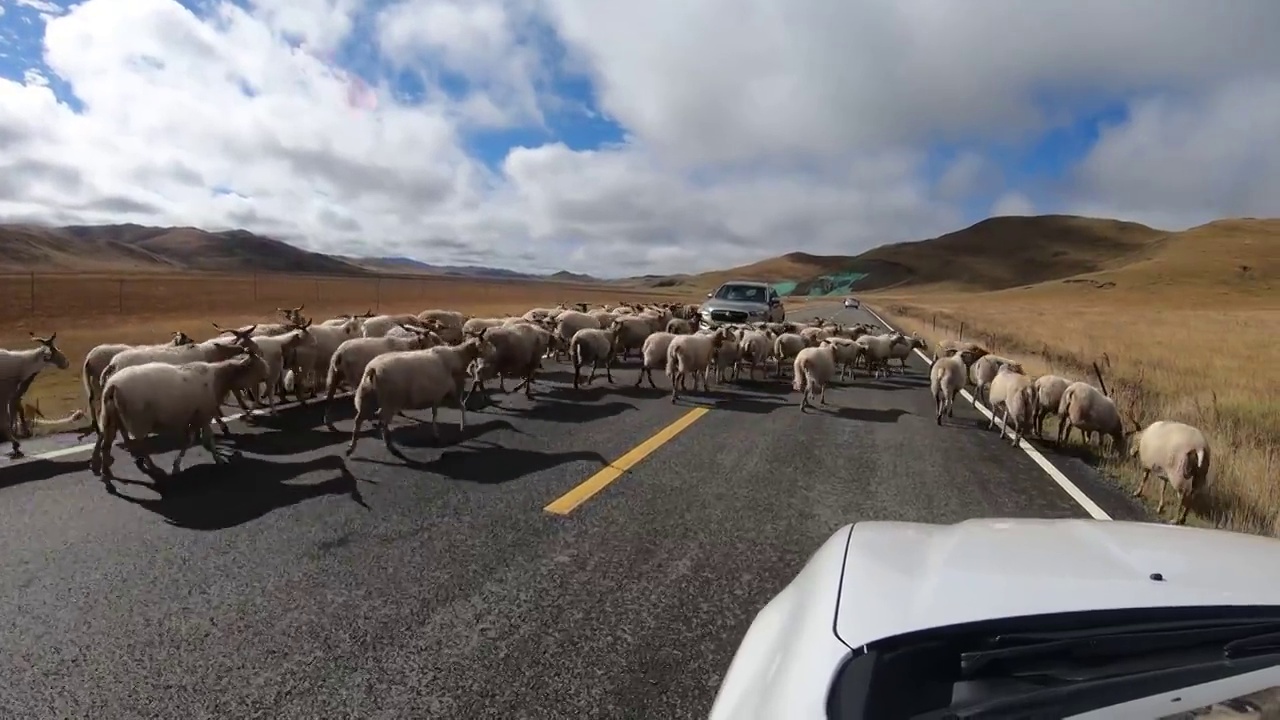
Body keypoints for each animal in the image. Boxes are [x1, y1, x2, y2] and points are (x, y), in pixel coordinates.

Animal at [88, 351, 261, 484]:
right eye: (256, 366)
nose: (255, 399)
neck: (219, 379)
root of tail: (112, 385)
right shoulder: (203, 415)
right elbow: (206, 440)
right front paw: (217, 459)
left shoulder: (193, 418)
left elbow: (191, 441)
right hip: (138, 420)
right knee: (138, 445)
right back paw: (150, 467)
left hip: (110, 417)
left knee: (106, 444)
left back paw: (106, 472)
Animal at [345, 333, 494, 453]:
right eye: (485, 343)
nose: (494, 353)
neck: (457, 356)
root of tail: (373, 369)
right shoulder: (451, 390)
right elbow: (461, 407)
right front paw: (462, 427)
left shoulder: (436, 395)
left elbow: (435, 414)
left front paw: (436, 433)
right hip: (389, 400)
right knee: (382, 420)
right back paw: (388, 445)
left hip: (366, 396)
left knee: (358, 419)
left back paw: (352, 447)